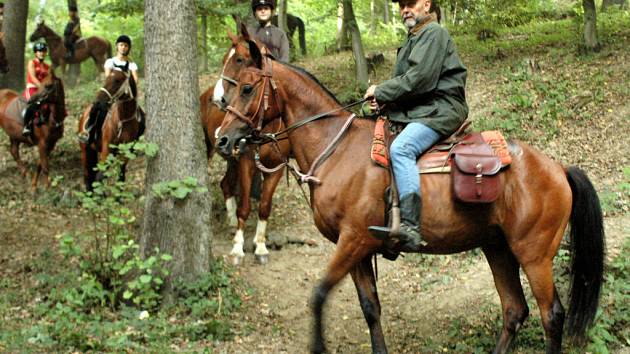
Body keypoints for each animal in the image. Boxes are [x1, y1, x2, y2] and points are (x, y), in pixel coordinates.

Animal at [201, 84, 290, 264]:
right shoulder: (246, 164)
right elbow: (244, 207)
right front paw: (237, 249)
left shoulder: (276, 169)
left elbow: (264, 206)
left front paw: (261, 247)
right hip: (211, 150)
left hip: (231, 160)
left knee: (226, 184)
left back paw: (231, 221)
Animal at [214, 28, 608, 354]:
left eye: (246, 87)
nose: (222, 139)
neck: (336, 148)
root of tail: (558, 168)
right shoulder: (358, 250)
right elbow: (370, 308)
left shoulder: (354, 240)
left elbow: (319, 295)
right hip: (496, 247)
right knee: (514, 309)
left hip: (534, 254)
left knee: (550, 314)